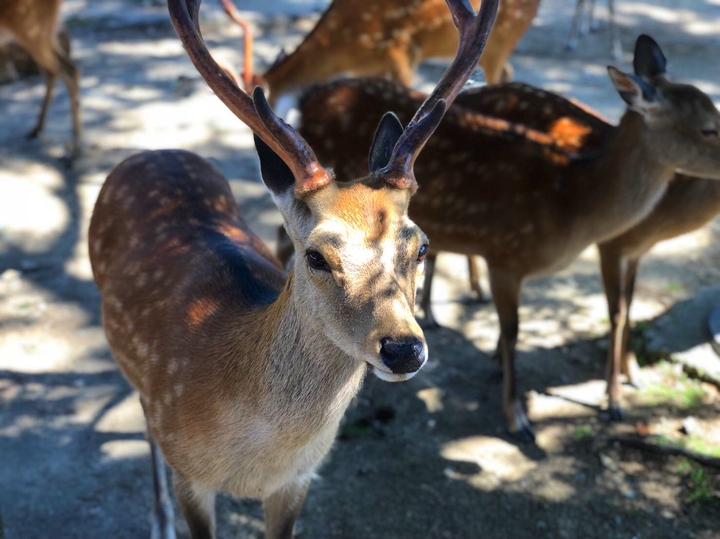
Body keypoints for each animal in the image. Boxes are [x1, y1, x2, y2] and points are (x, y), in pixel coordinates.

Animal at [0, 1, 80, 160]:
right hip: (43, 32)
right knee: (58, 71)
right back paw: (37, 129)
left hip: (32, 27)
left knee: (67, 71)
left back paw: (74, 149)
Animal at [88, 0, 498, 538]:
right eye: (316, 255)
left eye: (422, 246)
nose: (404, 349)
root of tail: (153, 152)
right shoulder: (190, 474)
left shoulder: (300, 478)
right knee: (143, 418)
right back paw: (159, 521)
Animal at [296, 34, 720, 441]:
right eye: (708, 127)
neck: (571, 199)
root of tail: (306, 97)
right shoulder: (506, 253)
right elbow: (516, 330)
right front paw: (520, 418)